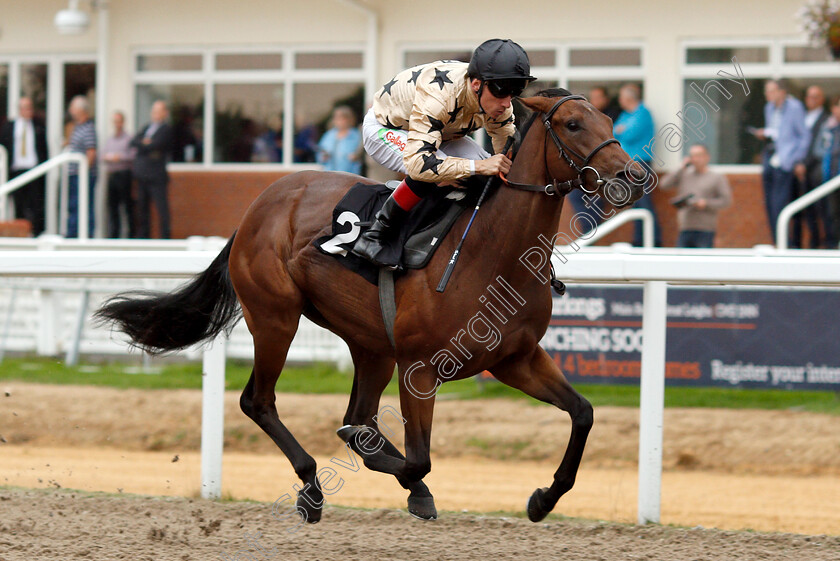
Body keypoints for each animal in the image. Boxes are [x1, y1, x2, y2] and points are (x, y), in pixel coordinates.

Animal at [95, 87, 648, 520]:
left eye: (610, 121)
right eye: (573, 124)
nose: (632, 175)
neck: (492, 250)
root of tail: (260, 205)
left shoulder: (516, 357)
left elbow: (583, 413)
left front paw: (543, 498)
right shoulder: (420, 366)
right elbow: (419, 457)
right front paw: (404, 477)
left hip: (371, 345)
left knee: (357, 411)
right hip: (276, 318)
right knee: (260, 401)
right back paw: (313, 487)